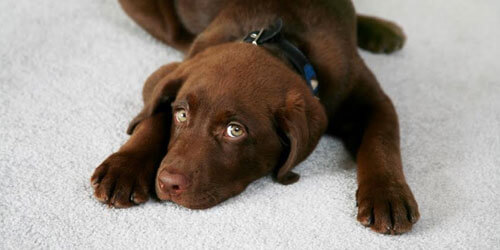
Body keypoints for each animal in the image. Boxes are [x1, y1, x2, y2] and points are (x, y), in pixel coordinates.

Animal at [90, 0, 418, 234]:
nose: (169, 183)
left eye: (235, 131)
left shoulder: (372, 98)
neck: (281, 43)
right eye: (181, 114)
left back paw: (380, 31)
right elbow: (154, 114)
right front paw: (125, 167)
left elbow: (381, 141)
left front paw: (388, 195)